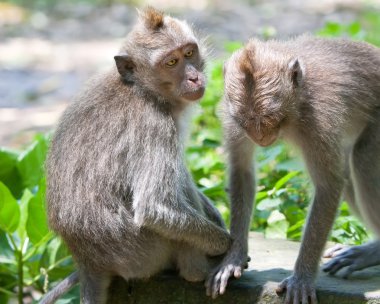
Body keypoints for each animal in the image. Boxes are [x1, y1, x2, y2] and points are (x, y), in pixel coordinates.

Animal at [41, 7, 232, 304]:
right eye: (171, 62)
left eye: (189, 53)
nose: (193, 78)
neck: (143, 89)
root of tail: (86, 261)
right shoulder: (155, 125)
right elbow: (153, 206)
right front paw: (226, 243)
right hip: (141, 251)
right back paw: (197, 270)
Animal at [206, 34, 380, 302]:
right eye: (247, 121)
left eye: (270, 117)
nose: (260, 137)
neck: (298, 100)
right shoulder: (231, 116)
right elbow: (241, 171)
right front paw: (233, 258)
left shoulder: (319, 120)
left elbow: (328, 186)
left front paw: (302, 278)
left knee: (362, 160)